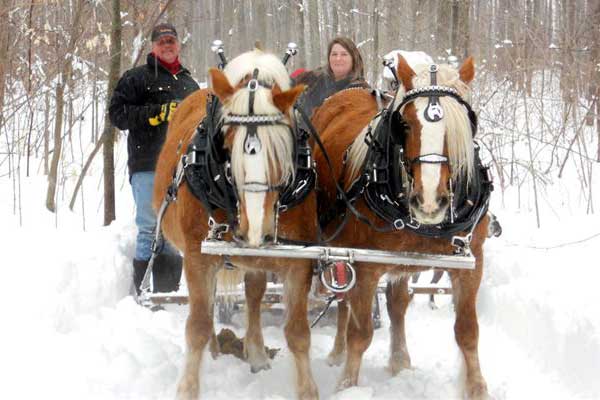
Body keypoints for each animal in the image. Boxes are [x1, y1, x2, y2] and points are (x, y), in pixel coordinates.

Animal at [154, 50, 318, 400]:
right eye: (227, 143)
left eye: (281, 145)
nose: (255, 230)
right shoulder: (198, 257)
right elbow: (197, 326)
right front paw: (188, 388)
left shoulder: (299, 259)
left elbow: (298, 332)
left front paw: (308, 390)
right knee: (209, 306)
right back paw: (215, 350)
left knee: (254, 295)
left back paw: (254, 353)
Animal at [314, 54, 492, 398]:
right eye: (405, 124)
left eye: (463, 124)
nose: (429, 201)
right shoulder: (364, 265)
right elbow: (360, 332)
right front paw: (346, 385)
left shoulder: (471, 261)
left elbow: (468, 331)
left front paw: (477, 388)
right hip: (339, 248)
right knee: (343, 303)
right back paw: (337, 352)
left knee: (397, 305)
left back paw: (399, 360)